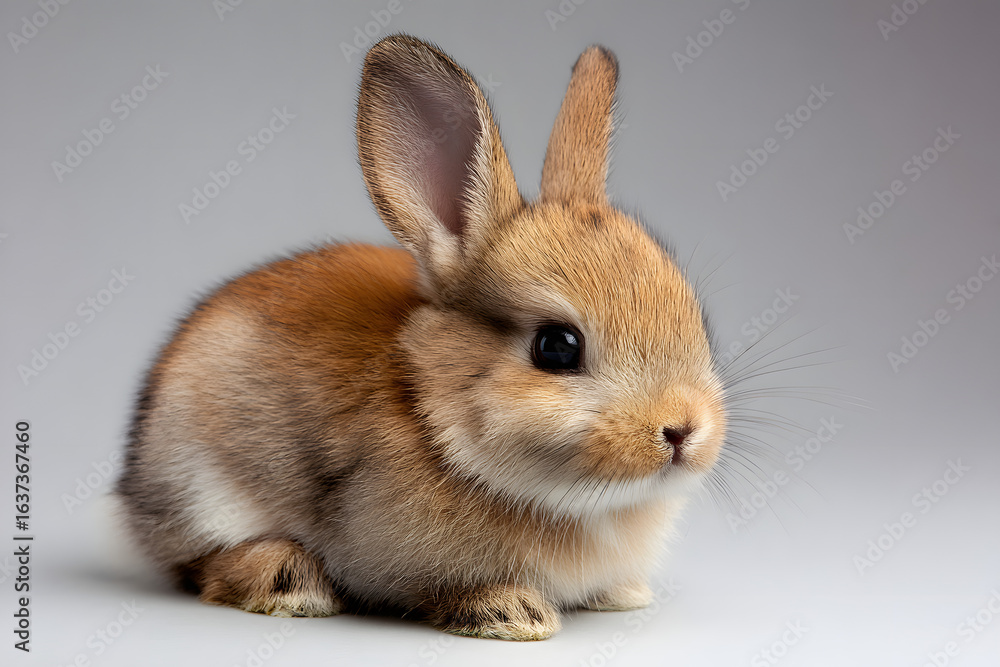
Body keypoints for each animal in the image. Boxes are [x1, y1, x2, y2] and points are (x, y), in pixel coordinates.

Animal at [115, 33, 727, 641]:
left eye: (695, 317)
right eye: (557, 347)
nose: (682, 430)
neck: (434, 414)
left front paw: (623, 594)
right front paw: (510, 613)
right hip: (196, 486)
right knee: (199, 564)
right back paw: (289, 582)